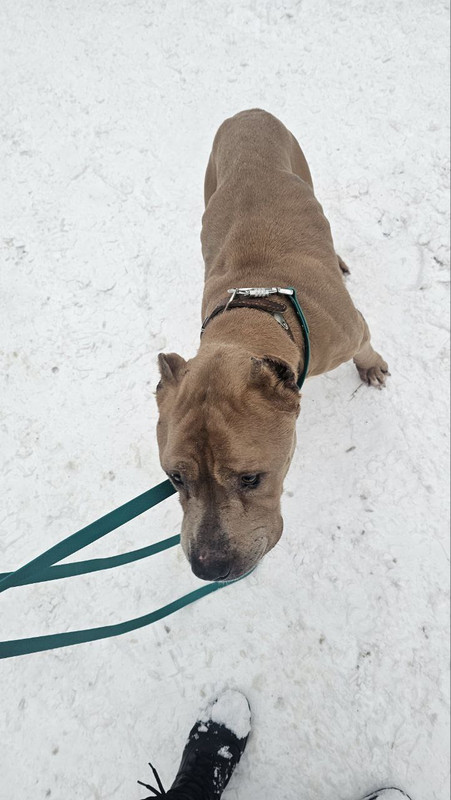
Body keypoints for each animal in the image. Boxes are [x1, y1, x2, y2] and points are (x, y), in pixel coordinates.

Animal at [156, 109, 389, 582]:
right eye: (175, 478)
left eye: (251, 478)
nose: (210, 567)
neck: (256, 313)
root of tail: (247, 113)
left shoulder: (352, 328)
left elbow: (366, 343)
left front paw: (371, 365)